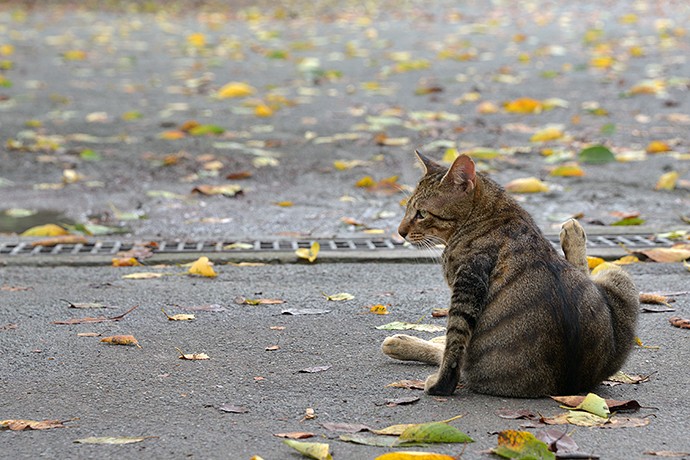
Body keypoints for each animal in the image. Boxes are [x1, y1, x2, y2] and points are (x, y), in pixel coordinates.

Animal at [378, 153, 636, 398]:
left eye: (421, 213)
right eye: (407, 209)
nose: (400, 232)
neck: (491, 212)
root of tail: (573, 387)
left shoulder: (469, 280)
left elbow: (454, 345)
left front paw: (439, 384)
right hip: (618, 277)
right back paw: (573, 233)